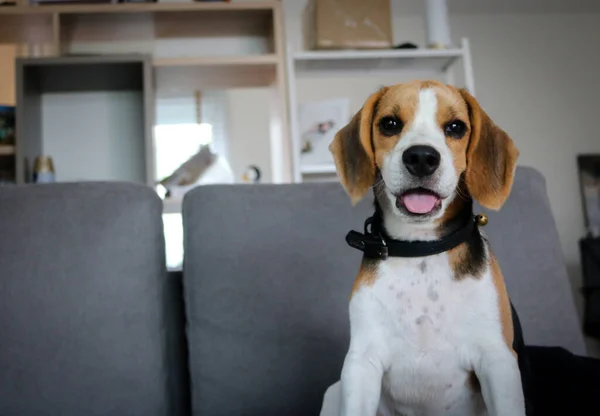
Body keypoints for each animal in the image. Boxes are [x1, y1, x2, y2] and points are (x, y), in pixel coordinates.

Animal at [318, 80, 524, 416]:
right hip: (333, 391)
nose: (422, 158)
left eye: (455, 127)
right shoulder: (361, 363)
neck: (422, 250)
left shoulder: (498, 361)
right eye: (389, 124)